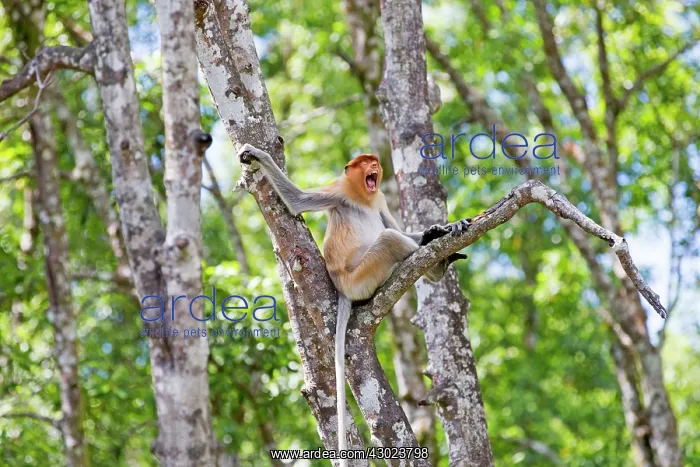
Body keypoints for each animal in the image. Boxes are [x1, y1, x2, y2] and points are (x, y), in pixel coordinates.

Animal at [238, 143, 467, 464]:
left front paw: (438, 230)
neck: (363, 196)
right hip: (362, 275)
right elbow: (297, 202)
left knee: (390, 233)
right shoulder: (339, 190)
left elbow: (392, 222)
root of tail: (342, 289)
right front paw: (256, 154)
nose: (375, 166)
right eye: (365, 163)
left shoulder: (379, 199)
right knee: (388, 239)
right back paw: (438, 268)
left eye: (373, 162)